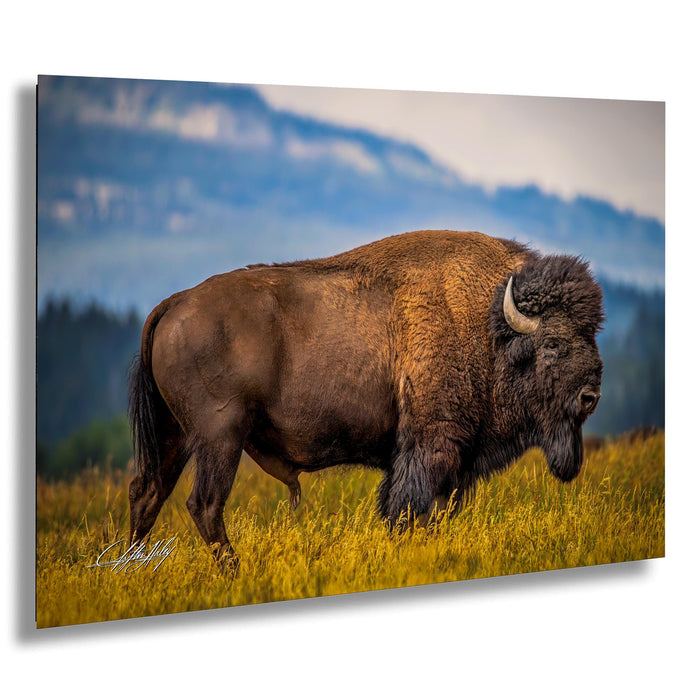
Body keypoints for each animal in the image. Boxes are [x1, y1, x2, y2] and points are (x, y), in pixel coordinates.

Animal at [128, 230, 603, 570]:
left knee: (147, 493)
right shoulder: (431, 447)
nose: (591, 396)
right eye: (553, 343)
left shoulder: (451, 465)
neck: (487, 327)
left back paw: (132, 568)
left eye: (591, 335)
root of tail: (173, 303)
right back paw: (234, 571)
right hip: (219, 436)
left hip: (176, 437)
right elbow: (408, 510)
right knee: (204, 504)